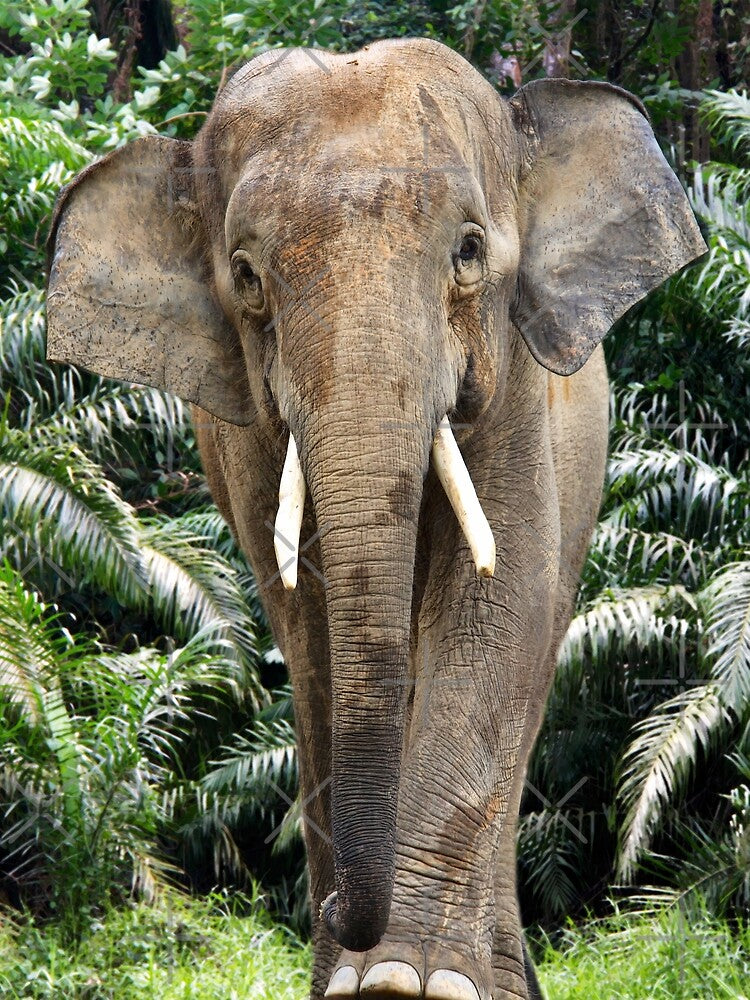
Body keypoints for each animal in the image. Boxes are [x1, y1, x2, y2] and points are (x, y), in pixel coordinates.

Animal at [46, 38, 706, 1000]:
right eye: (246, 277)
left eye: (469, 251)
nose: (334, 913)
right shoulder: (248, 440)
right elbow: (313, 626)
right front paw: (370, 981)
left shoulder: (519, 393)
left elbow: (494, 604)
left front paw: (412, 981)